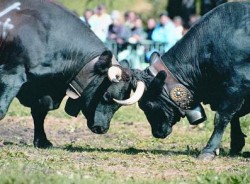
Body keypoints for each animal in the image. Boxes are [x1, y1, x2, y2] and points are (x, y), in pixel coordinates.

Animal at [0, 0, 140, 147]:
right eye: (106, 95)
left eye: (119, 105)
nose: (102, 129)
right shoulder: (11, 74)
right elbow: (2, 110)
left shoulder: (43, 89)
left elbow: (39, 113)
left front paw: (42, 141)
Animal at [111, 1, 250, 160]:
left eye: (148, 105)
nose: (156, 133)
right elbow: (234, 117)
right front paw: (236, 144)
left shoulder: (235, 87)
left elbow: (222, 118)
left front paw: (209, 150)